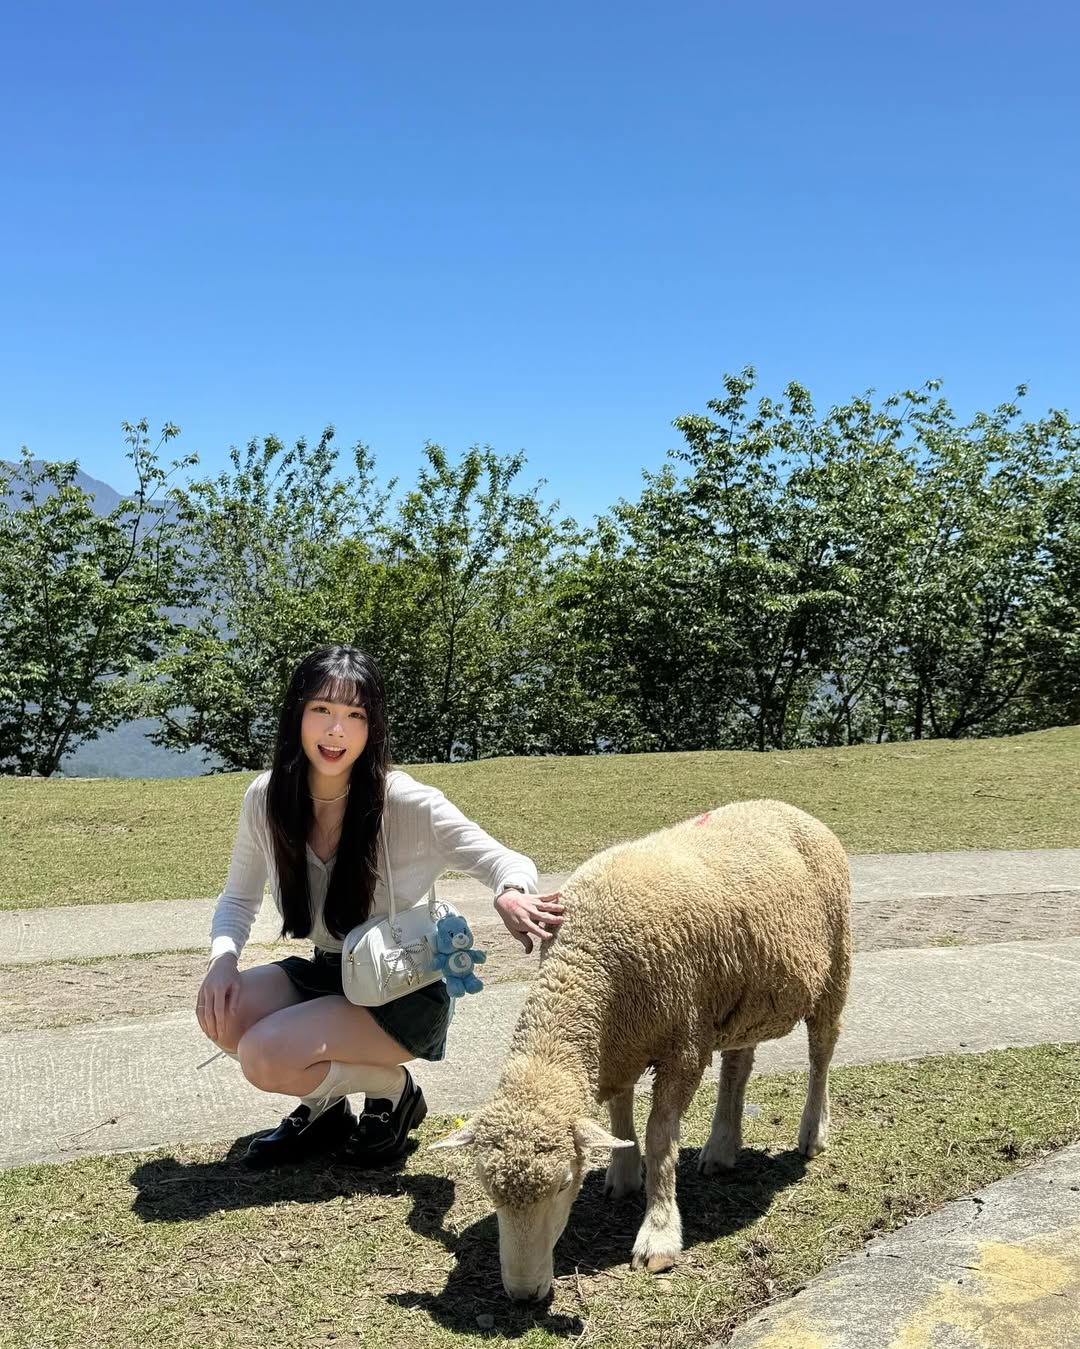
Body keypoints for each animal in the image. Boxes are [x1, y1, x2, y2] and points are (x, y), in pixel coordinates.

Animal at [432, 798, 851, 1301]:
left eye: (564, 1185)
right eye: (487, 1188)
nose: (523, 1295)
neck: (587, 962)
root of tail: (786, 807)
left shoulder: (683, 1047)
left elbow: (660, 1138)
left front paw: (659, 1234)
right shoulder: (619, 1046)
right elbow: (619, 1113)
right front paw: (625, 1174)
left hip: (835, 966)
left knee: (821, 1053)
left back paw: (812, 1133)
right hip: (741, 997)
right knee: (738, 1066)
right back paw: (721, 1147)